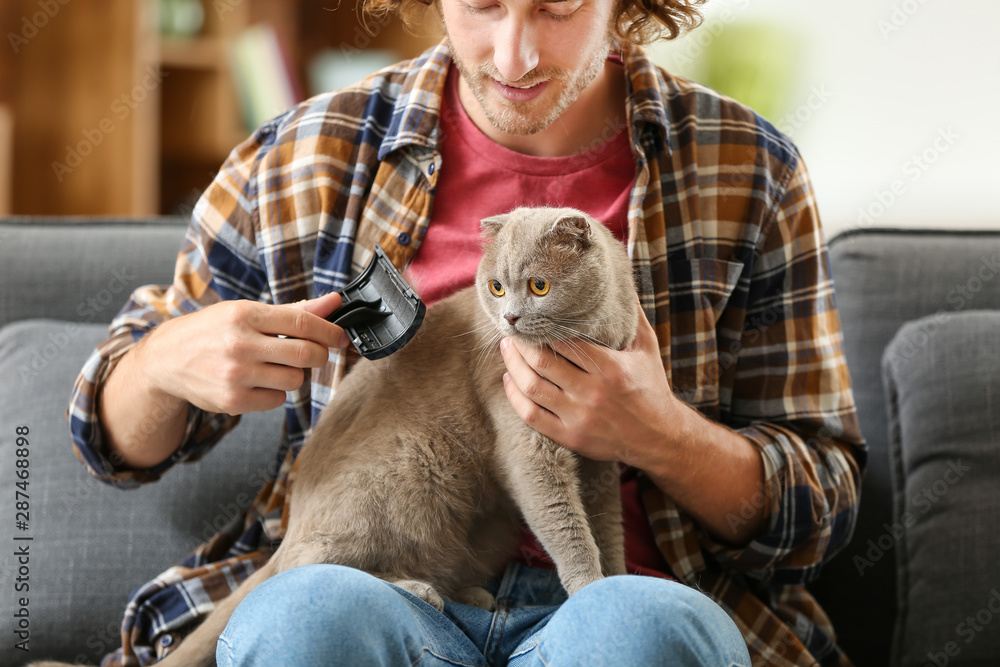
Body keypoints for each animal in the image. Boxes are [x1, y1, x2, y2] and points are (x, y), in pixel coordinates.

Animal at [33, 206, 640, 664]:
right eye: (495, 287)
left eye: (538, 285)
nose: (510, 318)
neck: (592, 343)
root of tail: (291, 524)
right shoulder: (529, 449)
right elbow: (565, 525)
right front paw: (589, 588)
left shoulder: (602, 458)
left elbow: (607, 525)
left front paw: (618, 579)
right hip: (410, 471)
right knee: (309, 568)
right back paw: (421, 590)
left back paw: (469, 593)